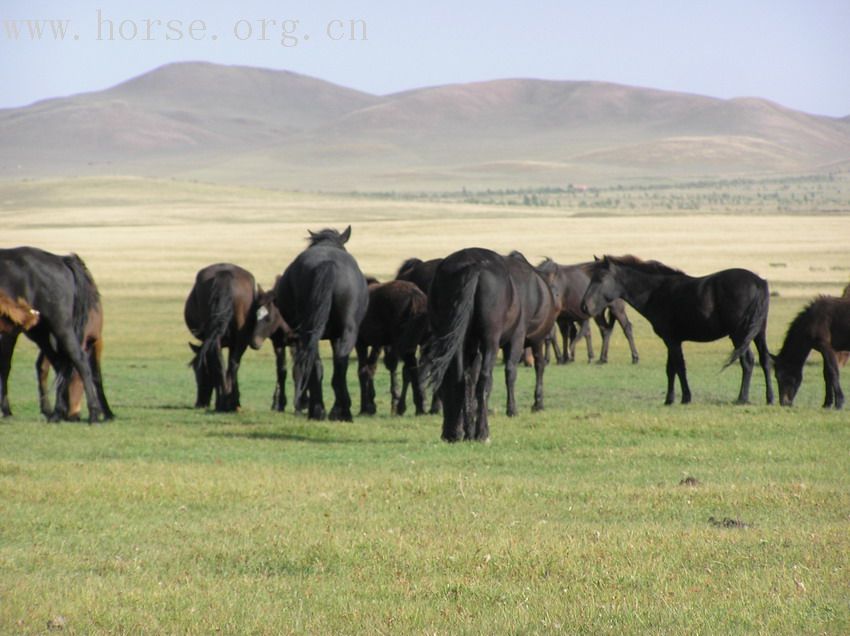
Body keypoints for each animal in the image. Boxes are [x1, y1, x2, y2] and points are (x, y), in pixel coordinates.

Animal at [272, 226, 368, 420]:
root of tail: (327, 263)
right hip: (341, 332)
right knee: (336, 365)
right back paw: (338, 411)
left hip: (312, 331)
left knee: (321, 364)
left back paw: (321, 410)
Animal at [354, 280, 428, 414]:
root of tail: (415, 296)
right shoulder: (379, 344)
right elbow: (372, 368)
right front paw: (371, 404)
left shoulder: (361, 343)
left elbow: (363, 371)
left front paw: (365, 407)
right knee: (415, 368)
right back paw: (418, 405)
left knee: (411, 368)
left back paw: (413, 406)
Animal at [428, 248, 560, 442]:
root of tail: (472, 265)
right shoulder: (520, 339)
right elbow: (518, 371)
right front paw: (521, 407)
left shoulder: (472, 345)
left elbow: (469, 379)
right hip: (490, 340)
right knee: (485, 379)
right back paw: (482, 432)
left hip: (453, 338)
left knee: (456, 378)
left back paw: (454, 432)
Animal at [580, 256, 772, 404]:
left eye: (600, 279)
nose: (584, 307)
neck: (656, 292)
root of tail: (758, 282)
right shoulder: (670, 341)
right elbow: (670, 369)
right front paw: (669, 399)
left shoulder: (672, 340)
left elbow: (679, 367)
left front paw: (686, 397)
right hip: (758, 332)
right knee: (765, 359)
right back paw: (770, 398)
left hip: (739, 335)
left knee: (747, 361)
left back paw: (742, 398)